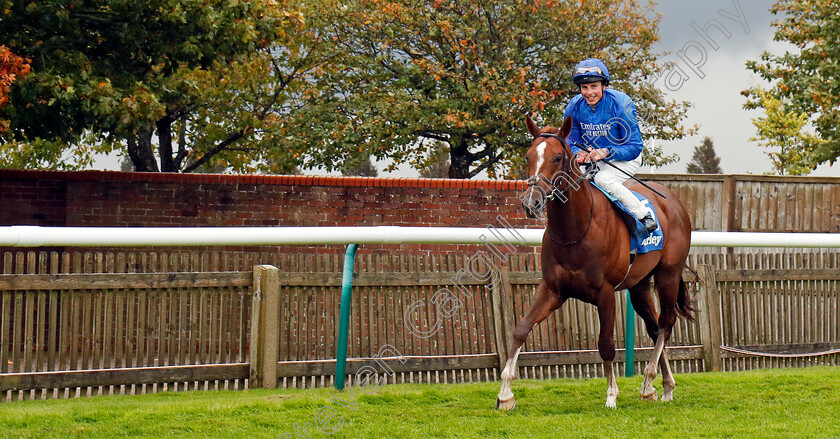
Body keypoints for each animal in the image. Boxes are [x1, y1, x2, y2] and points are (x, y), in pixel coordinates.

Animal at [496, 115, 692, 410]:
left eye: (557, 157)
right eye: (528, 155)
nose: (532, 203)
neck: (575, 232)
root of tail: (676, 204)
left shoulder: (605, 293)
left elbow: (606, 345)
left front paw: (611, 395)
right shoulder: (552, 290)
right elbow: (521, 329)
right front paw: (505, 394)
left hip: (668, 274)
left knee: (666, 323)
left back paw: (648, 379)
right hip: (639, 285)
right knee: (654, 325)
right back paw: (661, 386)